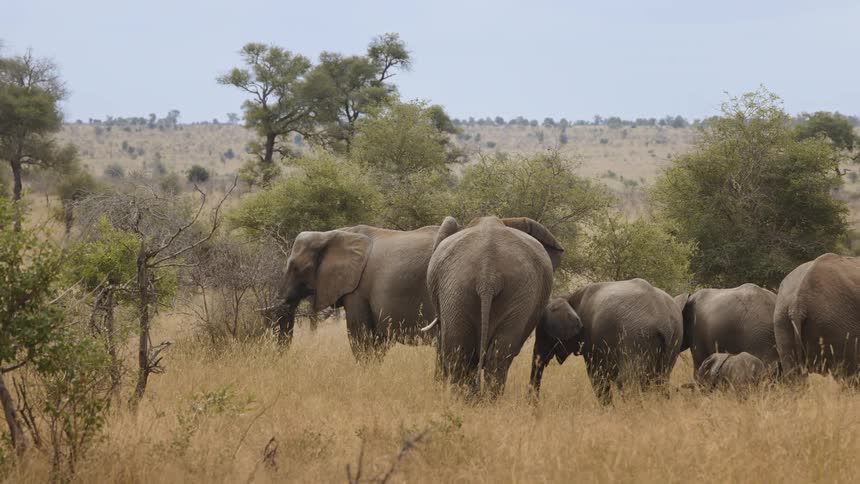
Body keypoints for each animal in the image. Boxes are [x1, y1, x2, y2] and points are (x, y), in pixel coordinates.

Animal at [426, 216, 564, 398]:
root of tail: (488, 274)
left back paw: (464, 399)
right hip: (472, 287)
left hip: (461, 287)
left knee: (464, 352)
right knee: (489, 355)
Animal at [531, 279, 683, 405]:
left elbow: (596, 377)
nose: (535, 408)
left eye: (545, 337)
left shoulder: (590, 341)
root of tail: (665, 322)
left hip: (637, 336)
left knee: (628, 381)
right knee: (661, 379)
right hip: (674, 340)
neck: (570, 298)